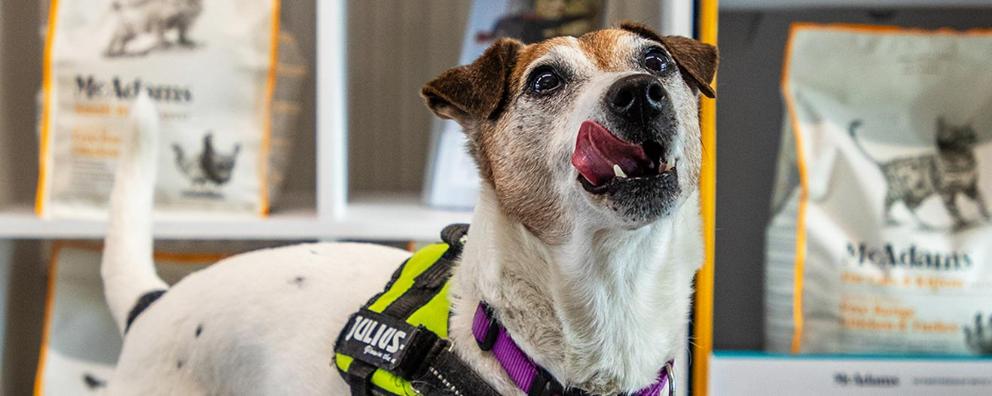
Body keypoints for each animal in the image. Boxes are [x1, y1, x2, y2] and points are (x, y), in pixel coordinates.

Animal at [848, 118, 988, 229]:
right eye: (954, 137)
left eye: (969, 134)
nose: (972, 139)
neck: (962, 162)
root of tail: (886, 164)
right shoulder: (946, 191)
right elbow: (953, 209)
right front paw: (962, 223)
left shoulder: (970, 186)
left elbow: (980, 200)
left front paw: (986, 215)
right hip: (897, 191)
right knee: (886, 203)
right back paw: (890, 221)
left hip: (918, 194)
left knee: (908, 205)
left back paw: (924, 224)